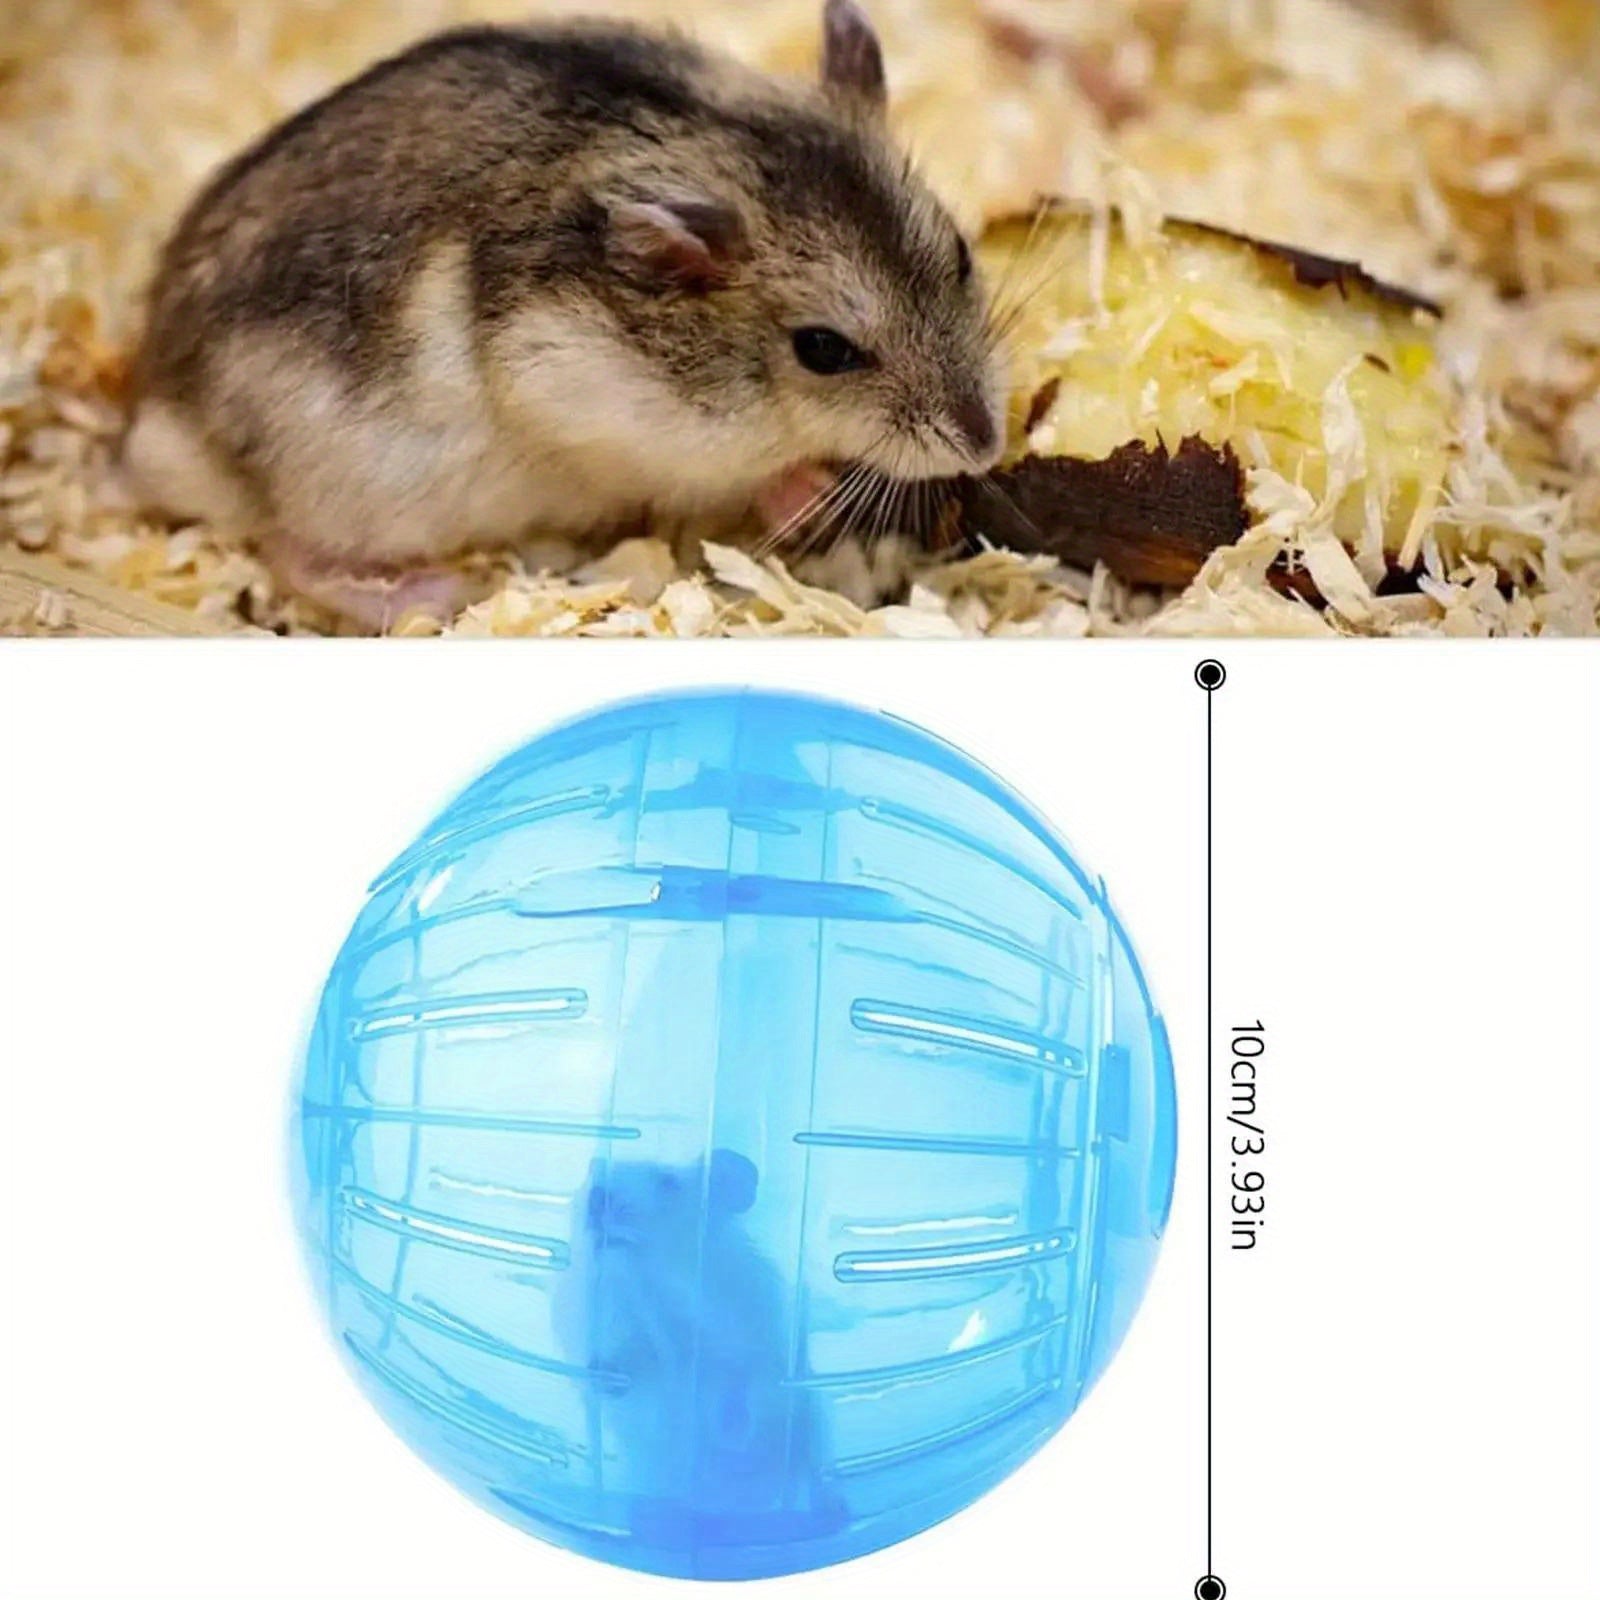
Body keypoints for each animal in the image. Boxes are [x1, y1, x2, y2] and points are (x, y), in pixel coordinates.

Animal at [124, 2, 1007, 629]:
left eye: (961, 252)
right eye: (823, 349)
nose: (986, 448)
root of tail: (152, 421)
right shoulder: (609, 416)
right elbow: (746, 472)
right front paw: (808, 487)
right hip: (348, 482)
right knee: (286, 550)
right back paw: (431, 594)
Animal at [556, 1148, 845, 1545]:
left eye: (668, 1183)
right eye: (591, 1176)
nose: (598, 1199)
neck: (657, 1284)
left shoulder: (758, 1330)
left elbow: (744, 1377)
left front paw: (732, 1432)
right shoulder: (612, 1323)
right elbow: (626, 1361)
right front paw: (605, 1378)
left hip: (816, 1421)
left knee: (812, 1476)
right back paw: (653, 1517)